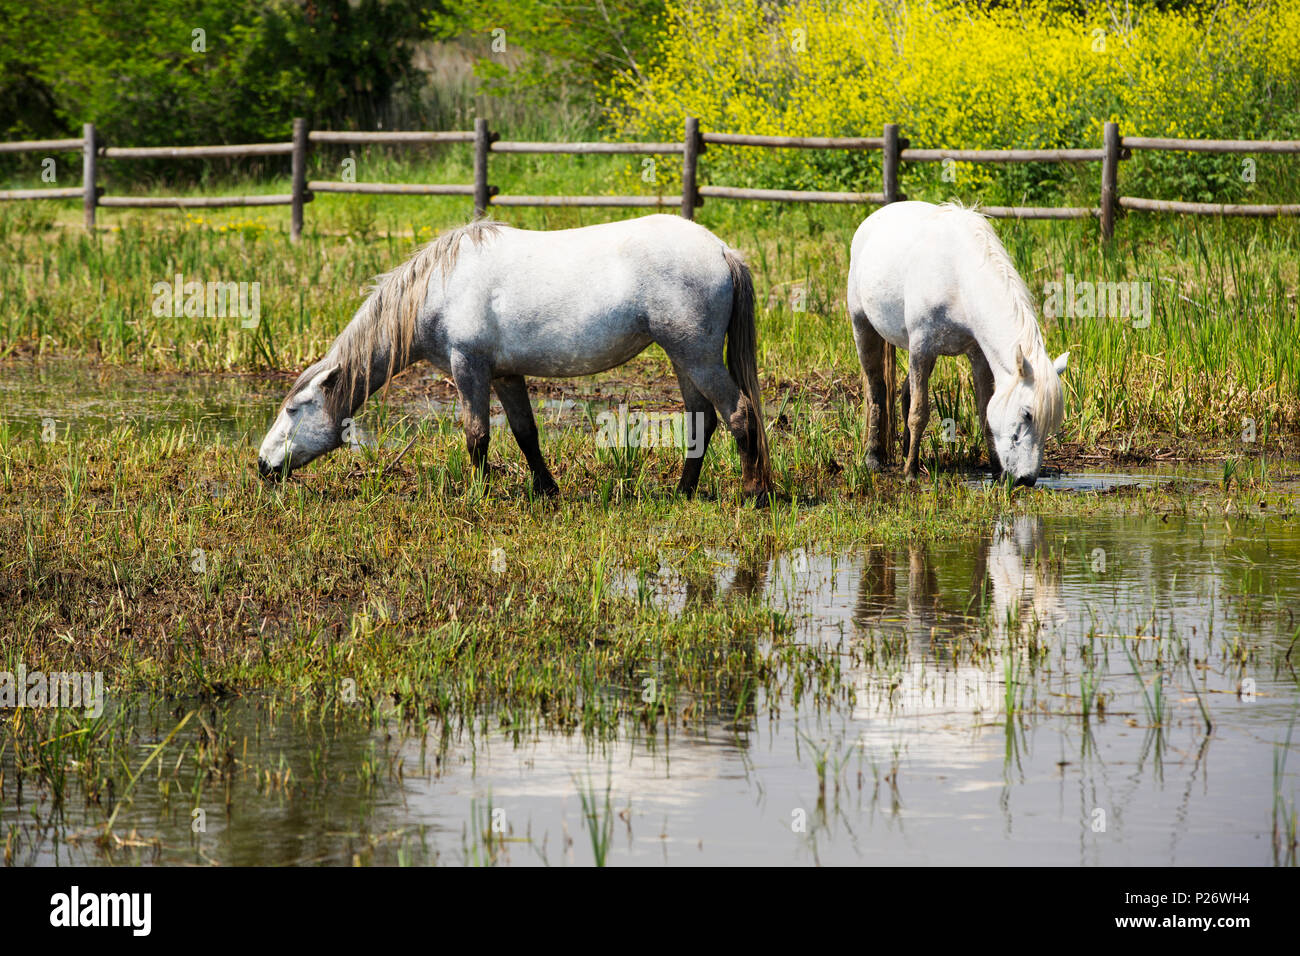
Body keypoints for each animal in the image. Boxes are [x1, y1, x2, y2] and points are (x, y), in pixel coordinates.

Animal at [257, 214, 771, 500]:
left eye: (294, 409)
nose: (262, 465)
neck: (439, 289)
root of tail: (721, 250)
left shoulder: (469, 368)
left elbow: (477, 435)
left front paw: (480, 494)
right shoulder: (506, 375)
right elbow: (526, 435)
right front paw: (547, 491)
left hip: (698, 355)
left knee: (740, 414)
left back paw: (753, 494)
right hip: (683, 358)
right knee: (701, 420)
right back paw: (683, 492)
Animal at [846, 201, 1068, 486]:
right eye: (1027, 413)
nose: (1026, 479)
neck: (958, 277)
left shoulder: (977, 354)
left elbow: (984, 410)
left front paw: (996, 471)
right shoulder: (921, 348)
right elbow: (919, 412)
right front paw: (910, 473)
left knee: (905, 392)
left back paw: (907, 453)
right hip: (863, 326)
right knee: (877, 391)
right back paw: (873, 458)